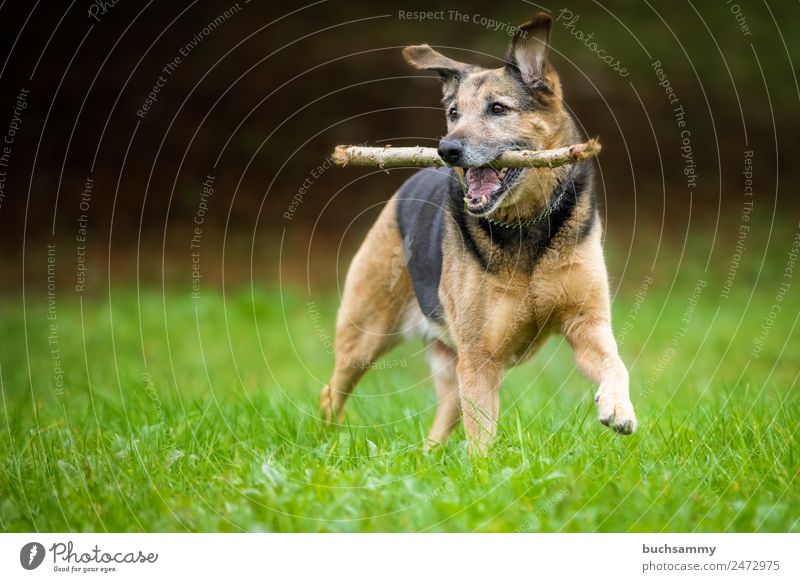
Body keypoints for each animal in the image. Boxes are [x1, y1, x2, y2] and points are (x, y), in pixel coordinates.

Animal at [318, 12, 636, 452]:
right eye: (453, 112)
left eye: (498, 108)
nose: (446, 150)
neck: (524, 224)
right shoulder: (480, 357)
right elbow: (482, 439)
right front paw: (486, 470)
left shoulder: (585, 322)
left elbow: (615, 364)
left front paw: (618, 409)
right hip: (365, 335)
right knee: (331, 391)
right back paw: (327, 443)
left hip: (447, 364)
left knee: (440, 422)